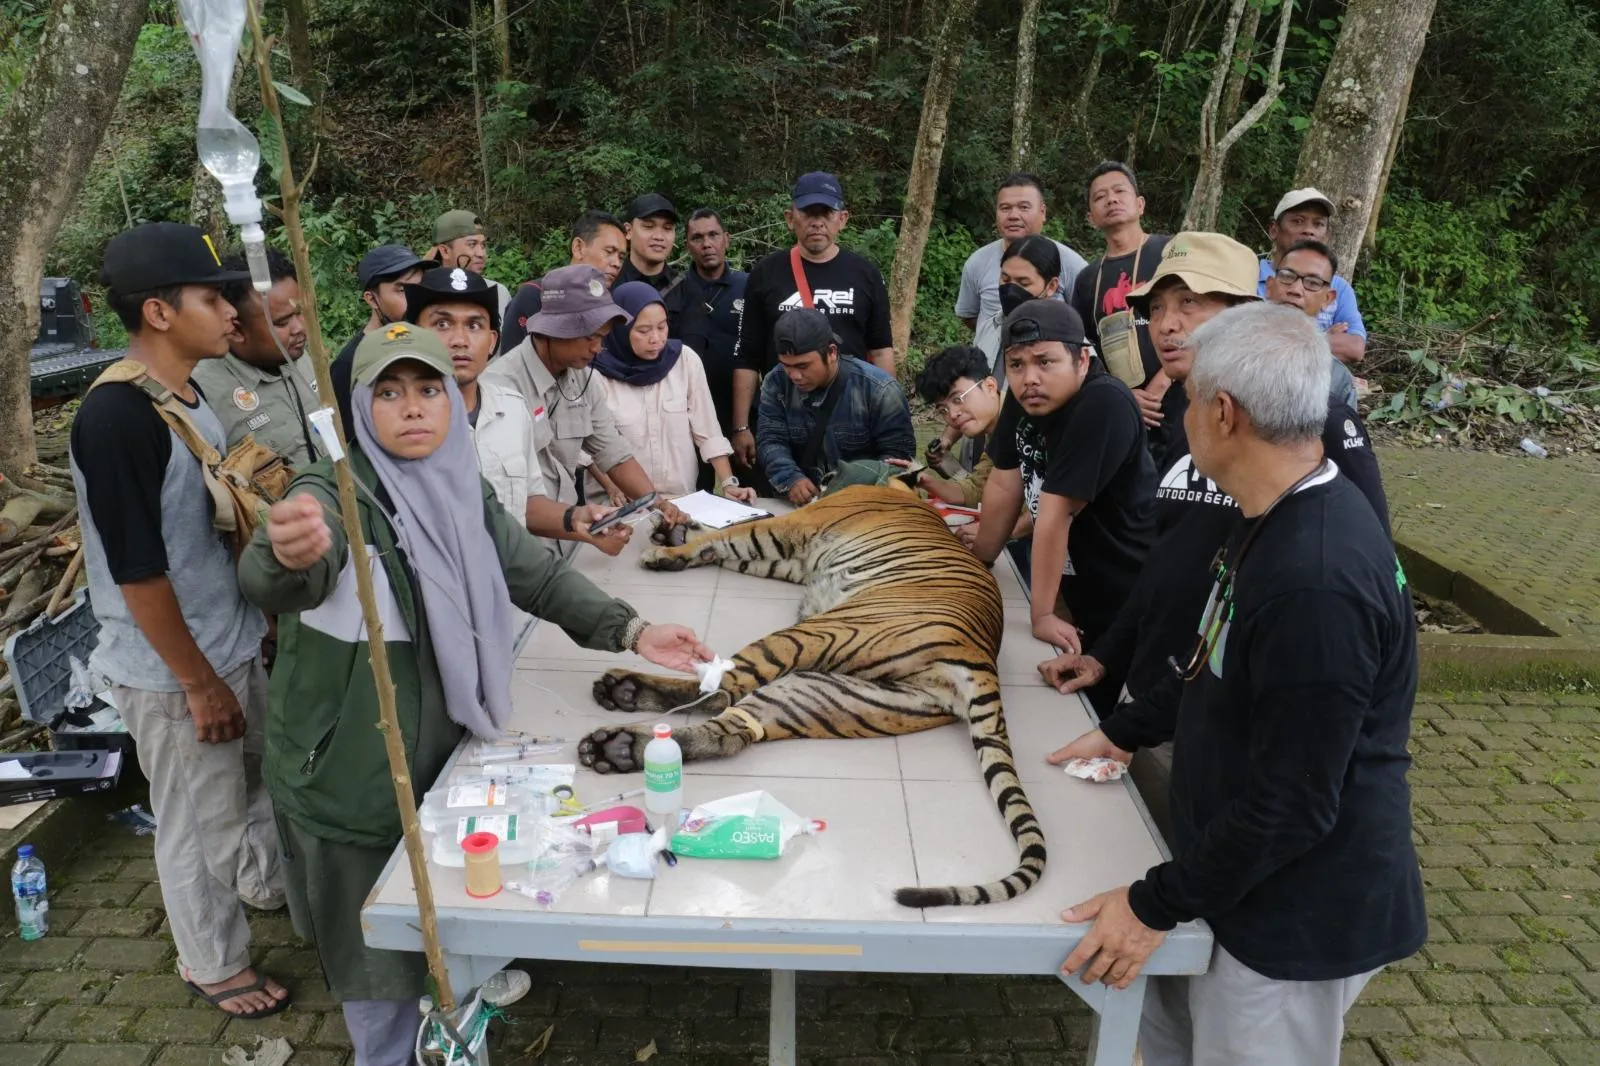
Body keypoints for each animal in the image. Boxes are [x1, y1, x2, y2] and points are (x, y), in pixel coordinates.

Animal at [579, 480, 1049, 902]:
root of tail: (983, 656)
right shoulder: (786, 561)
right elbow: (721, 544)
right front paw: (676, 533)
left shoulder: (790, 529)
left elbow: (726, 536)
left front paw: (665, 549)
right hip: (825, 694)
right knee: (730, 731)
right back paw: (619, 746)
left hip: (820, 632)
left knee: (723, 689)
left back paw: (620, 697)